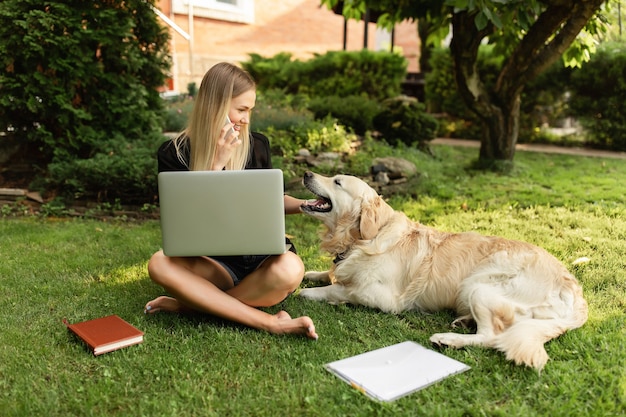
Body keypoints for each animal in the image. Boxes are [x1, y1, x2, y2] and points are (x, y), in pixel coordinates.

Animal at [300, 171, 588, 368]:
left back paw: (449, 338)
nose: (306, 173)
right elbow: (330, 274)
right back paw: (463, 321)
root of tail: (574, 290)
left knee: (492, 337)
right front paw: (310, 274)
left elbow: (338, 289)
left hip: (479, 285)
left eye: (337, 182)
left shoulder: (383, 297)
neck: (364, 237)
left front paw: (308, 293)